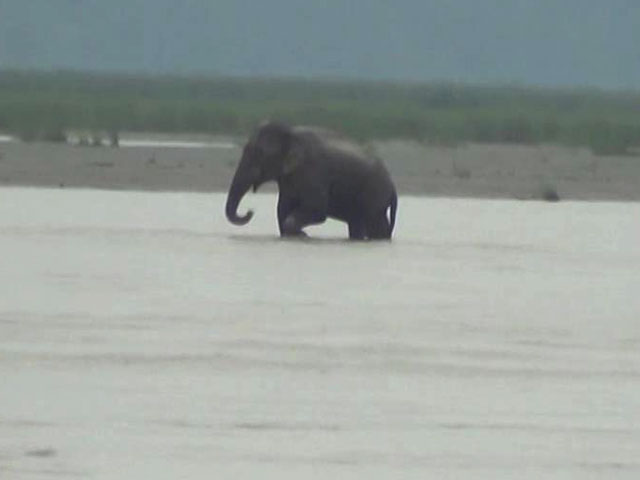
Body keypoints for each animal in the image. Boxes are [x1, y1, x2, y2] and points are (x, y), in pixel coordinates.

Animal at [225, 121, 398, 240]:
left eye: (258, 154)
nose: (250, 211)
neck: (290, 133)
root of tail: (393, 185)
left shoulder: (314, 172)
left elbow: (316, 209)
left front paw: (302, 235)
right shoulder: (289, 179)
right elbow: (282, 209)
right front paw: (296, 236)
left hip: (375, 195)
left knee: (375, 224)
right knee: (358, 224)